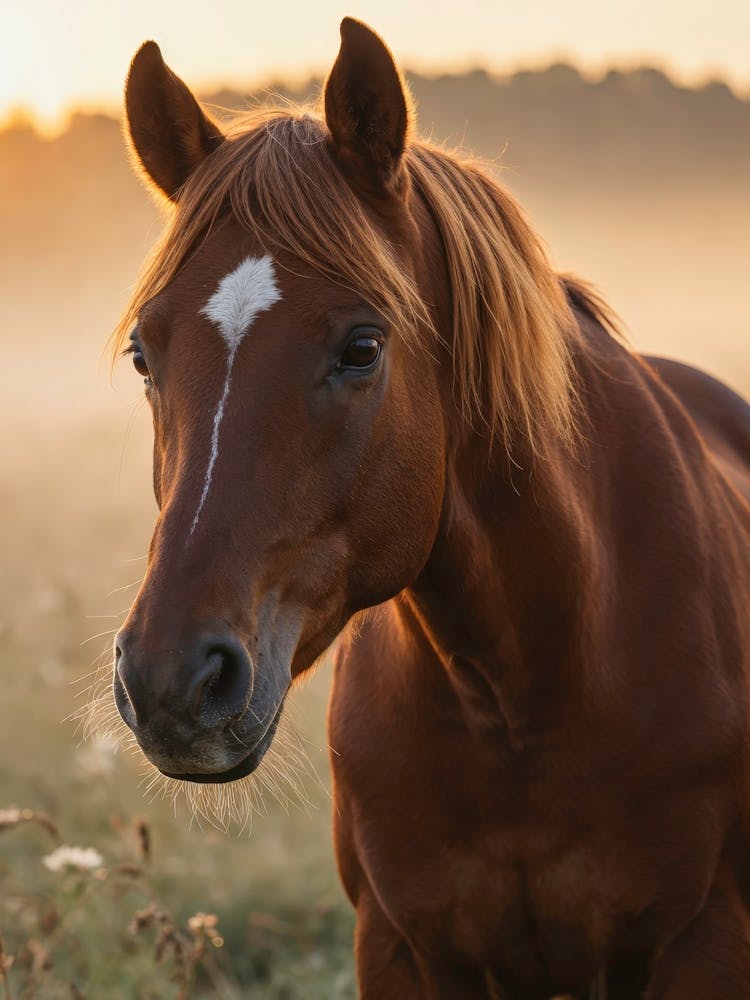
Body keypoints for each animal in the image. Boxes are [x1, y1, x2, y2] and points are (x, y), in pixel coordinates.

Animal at [109, 17, 750, 998]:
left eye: (363, 347)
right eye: (145, 354)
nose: (171, 682)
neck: (522, 695)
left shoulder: (702, 944)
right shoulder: (404, 949)